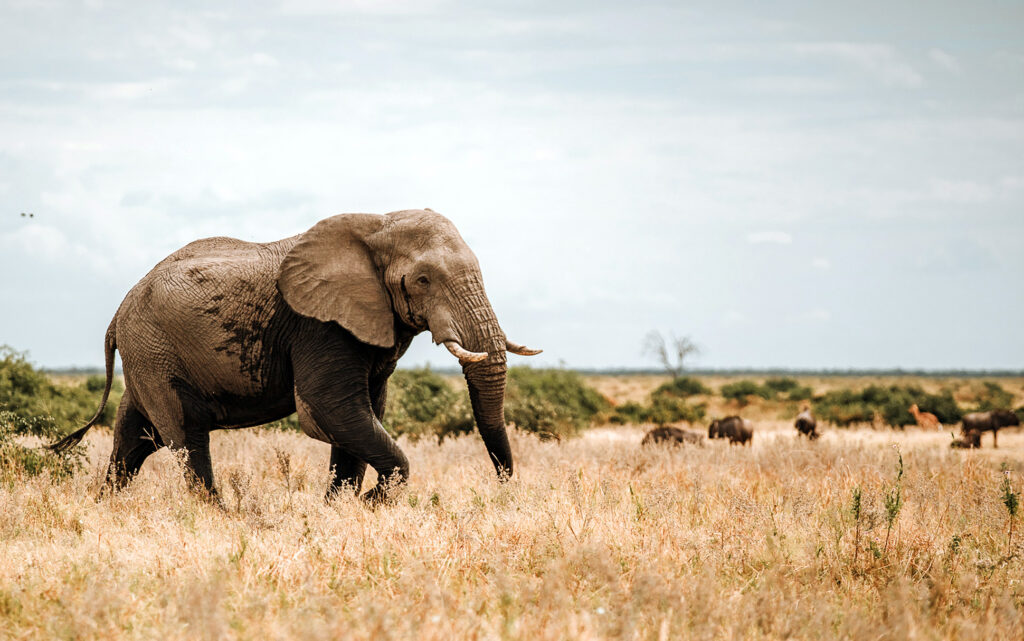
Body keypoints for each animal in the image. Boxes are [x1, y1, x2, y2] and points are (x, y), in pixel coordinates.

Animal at [51, 209, 540, 504]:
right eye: (422, 280)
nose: (501, 486)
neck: (376, 224)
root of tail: (117, 315)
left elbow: (365, 412)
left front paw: (342, 508)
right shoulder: (319, 326)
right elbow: (331, 409)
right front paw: (370, 503)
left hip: (146, 356)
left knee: (135, 439)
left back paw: (108, 507)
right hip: (155, 352)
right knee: (185, 436)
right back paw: (219, 516)